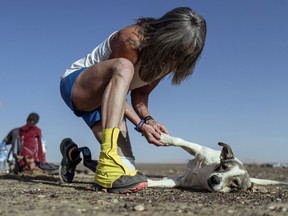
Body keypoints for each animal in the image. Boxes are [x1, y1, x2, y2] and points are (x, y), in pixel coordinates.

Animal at [147, 134, 288, 193]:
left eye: (234, 184)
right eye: (223, 166)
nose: (215, 179)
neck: (205, 173)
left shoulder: (182, 182)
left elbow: (161, 183)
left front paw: (146, 182)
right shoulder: (199, 150)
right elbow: (179, 140)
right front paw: (164, 138)